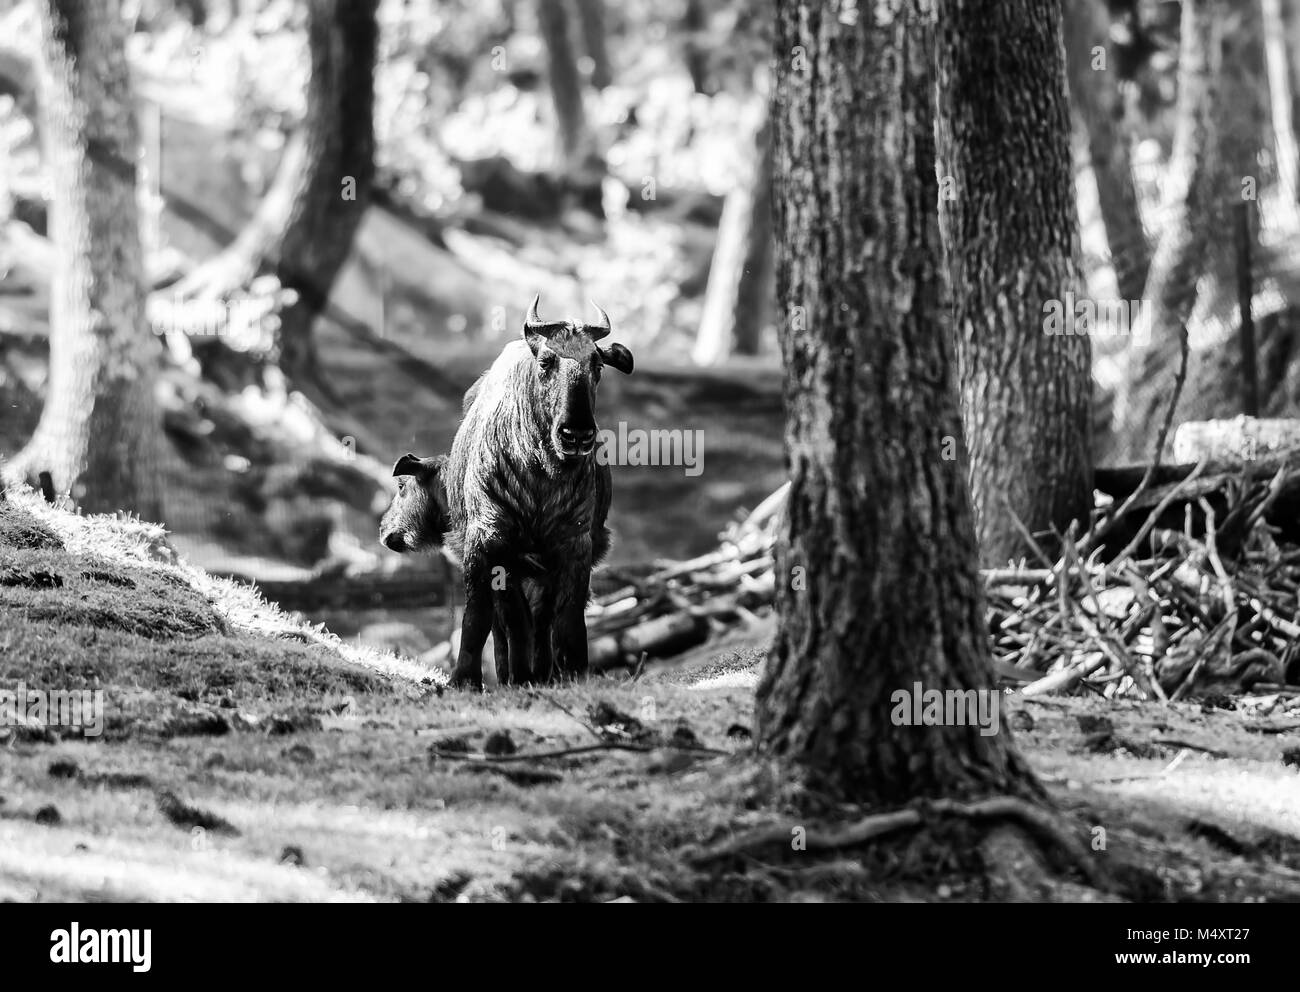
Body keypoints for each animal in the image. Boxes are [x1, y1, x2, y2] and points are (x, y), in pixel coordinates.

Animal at [441, 295, 634, 691]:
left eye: (597, 365)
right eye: (546, 361)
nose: (577, 435)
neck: (541, 475)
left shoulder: (573, 542)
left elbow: (567, 617)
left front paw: (572, 671)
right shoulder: (488, 540)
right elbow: (479, 615)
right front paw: (465, 679)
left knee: (540, 619)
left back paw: (540, 672)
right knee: (508, 621)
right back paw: (511, 673)